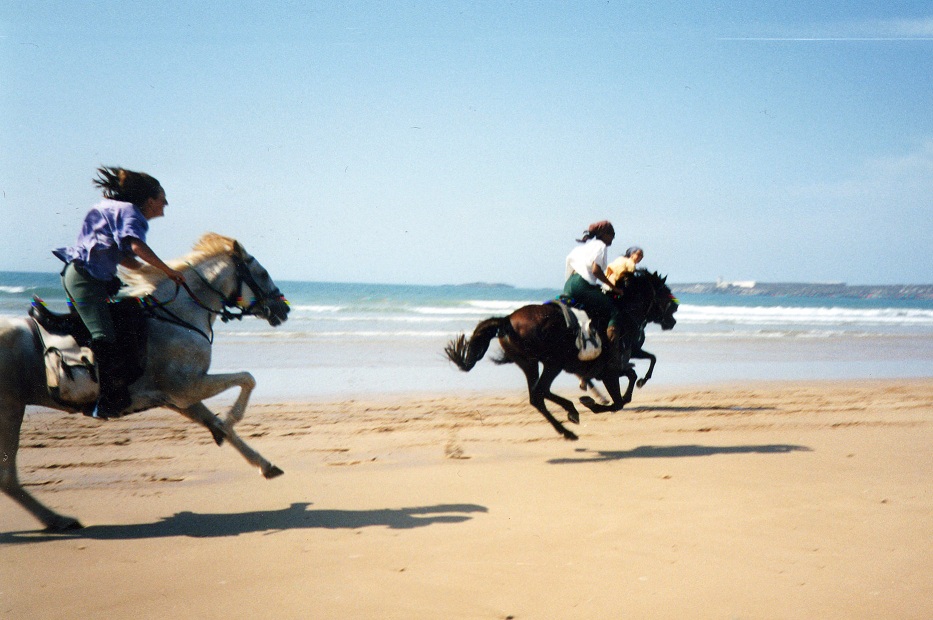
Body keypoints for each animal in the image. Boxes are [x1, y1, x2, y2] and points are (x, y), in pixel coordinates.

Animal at [0, 232, 290, 528]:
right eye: (262, 273)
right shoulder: (186, 388)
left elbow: (221, 423)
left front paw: (261, 462)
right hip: (10, 409)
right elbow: (247, 379)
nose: (282, 308)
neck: (179, 316)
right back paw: (58, 520)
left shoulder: (178, 399)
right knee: (7, 477)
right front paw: (228, 421)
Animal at [444, 268, 676, 438]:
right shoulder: (610, 371)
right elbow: (619, 399)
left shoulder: (614, 367)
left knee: (537, 396)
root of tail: (507, 320)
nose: (672, 320)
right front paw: (592, 403)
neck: (625, 315)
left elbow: (632, 377)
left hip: (530, 363)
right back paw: (570, 420)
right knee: (540, 392)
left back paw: (568, 420)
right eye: (665, 293)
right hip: (552, 363)